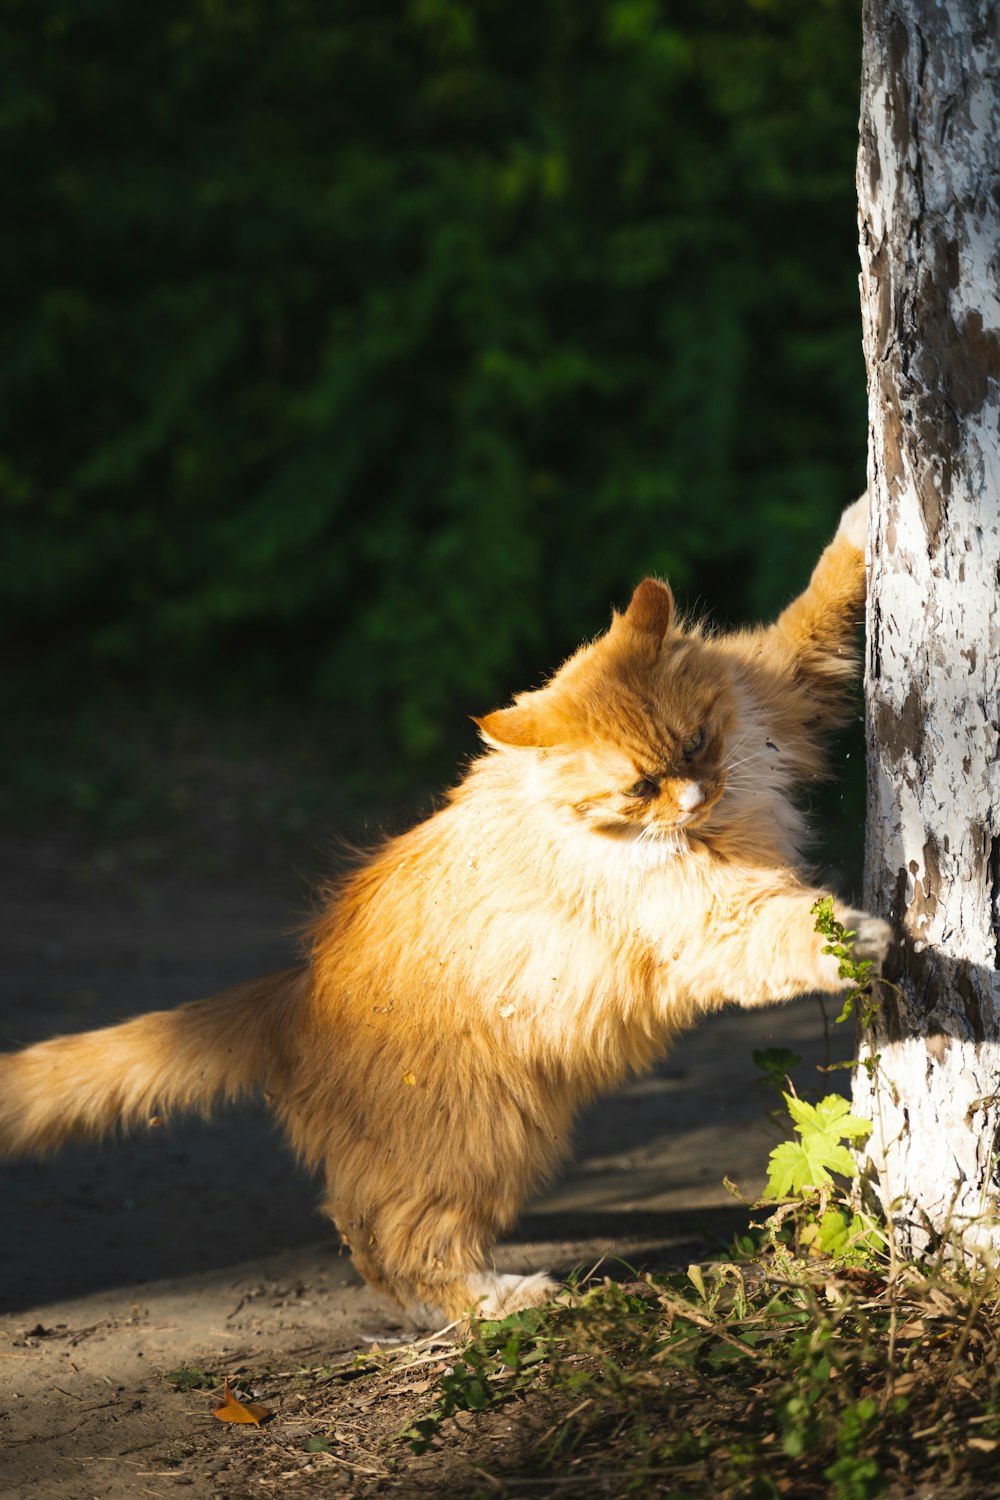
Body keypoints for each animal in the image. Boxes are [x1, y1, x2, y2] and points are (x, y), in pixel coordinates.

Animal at [0, 504, 893, 1326]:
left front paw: (860, 524)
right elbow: (791, 931)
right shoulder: (713, 925)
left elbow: (819, 603)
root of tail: (294, 989)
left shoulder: (785, 692)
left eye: (698, 741)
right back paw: (498, 1299)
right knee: (391, 1243)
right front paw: (860, 937)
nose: (696, 795)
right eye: (641, 787)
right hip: (478, 1140)